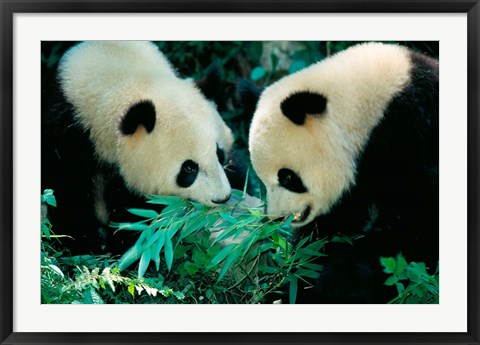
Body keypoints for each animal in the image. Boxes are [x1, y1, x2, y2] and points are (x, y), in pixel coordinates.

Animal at [44, 41, 239, 254]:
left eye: (219, 154)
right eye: (188, 168)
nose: (222, 198)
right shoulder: (68, 133)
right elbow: (68, 191)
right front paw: (88, 243)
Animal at [248, 42, 438, 300]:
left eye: (287, 177)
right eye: (262, 181)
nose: (276, 216)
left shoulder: (410, 138)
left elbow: (413, 223)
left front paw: (340, 280)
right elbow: (329, 227)